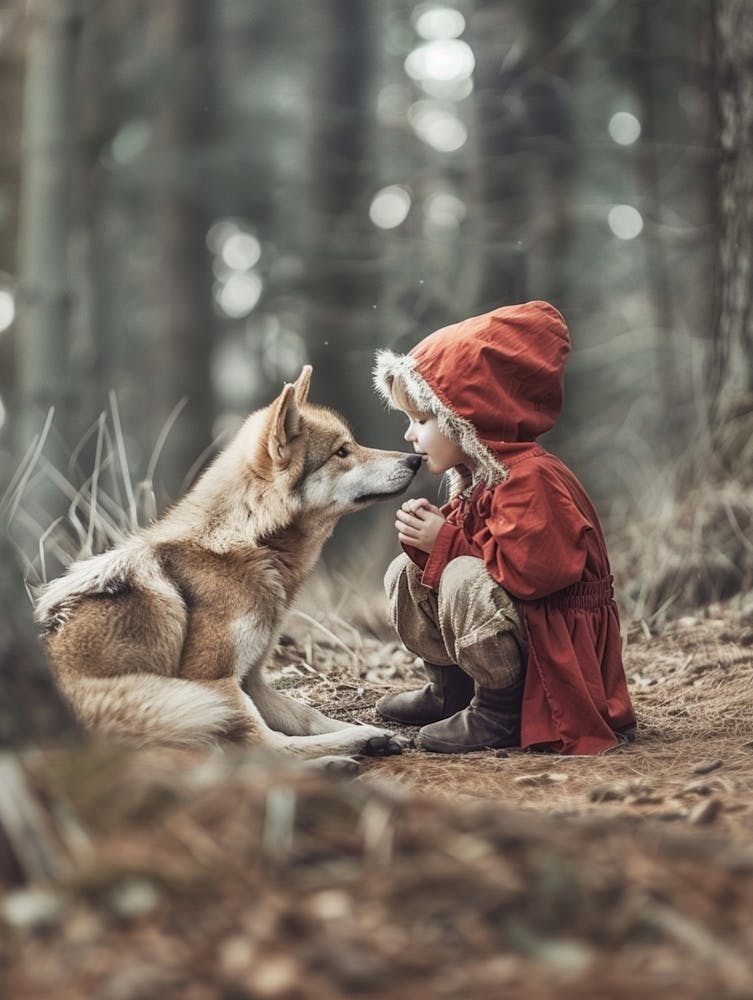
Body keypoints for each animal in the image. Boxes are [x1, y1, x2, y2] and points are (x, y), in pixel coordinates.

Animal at [34, 366, 421, 761]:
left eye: (352, 444)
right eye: (342, 451)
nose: (415, 459)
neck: (251, 542)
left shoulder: (253, 681)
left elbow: (309, 715)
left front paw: (378, 734)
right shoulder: (215, 680)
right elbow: (273, 739)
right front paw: (362, 737)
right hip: (187, 699)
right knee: (267, 745)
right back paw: (343, 756)